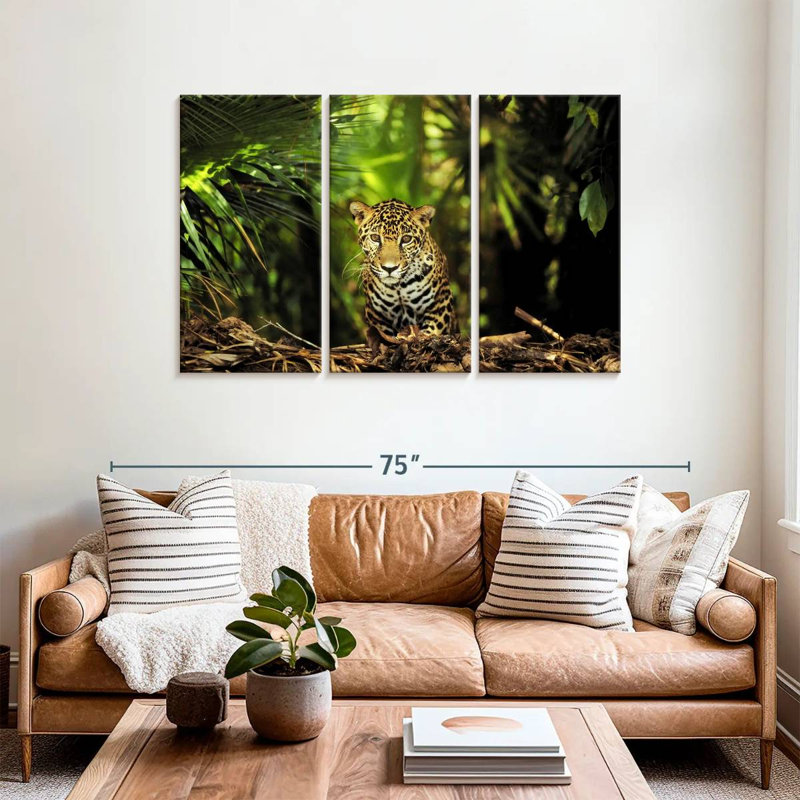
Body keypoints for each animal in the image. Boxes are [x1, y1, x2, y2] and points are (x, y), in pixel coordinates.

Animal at [349, 198, 457, 338]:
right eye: (375, 238)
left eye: (406, 239)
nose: (389, 268)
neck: (399, 287)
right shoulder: (376, 315)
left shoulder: (441, 303)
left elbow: (431, 331)